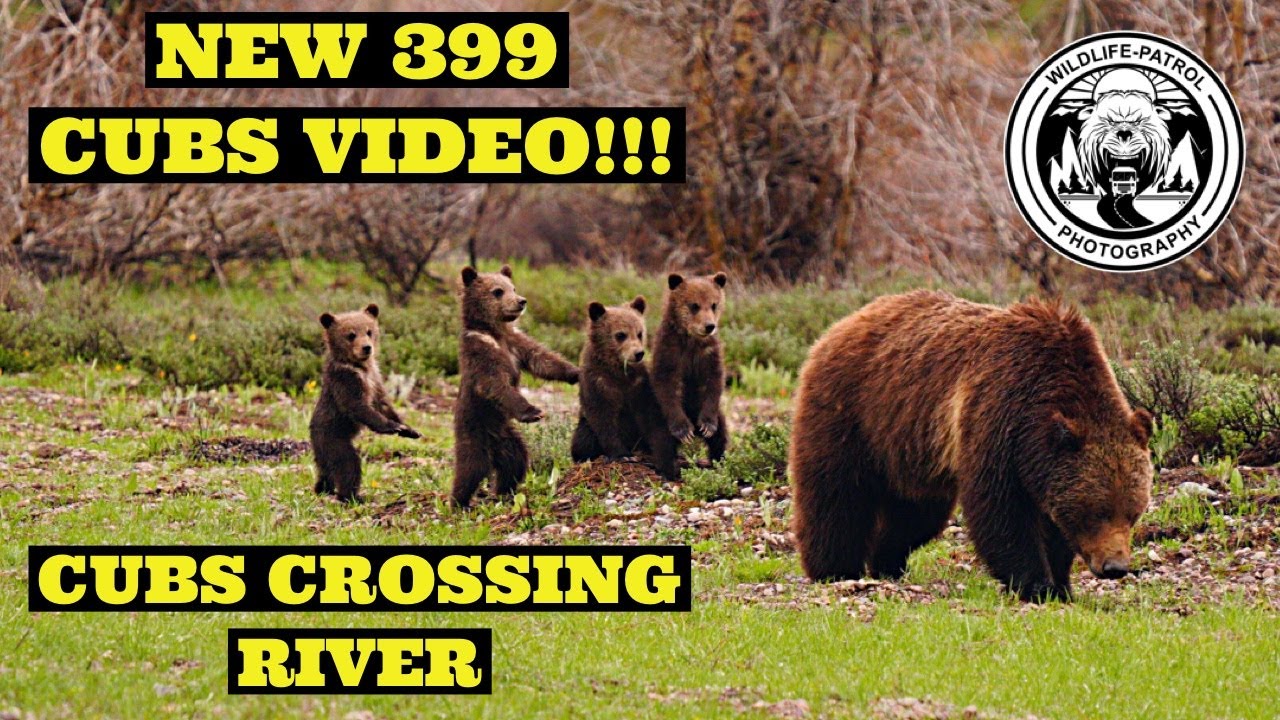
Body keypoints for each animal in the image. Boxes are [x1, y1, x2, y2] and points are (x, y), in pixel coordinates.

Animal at [310, 303, 421, 504]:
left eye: (369, 331)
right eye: (351, 335)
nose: (367, 348)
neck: (360, 367)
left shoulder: (375, 378)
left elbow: (383, 404)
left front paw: (409, 429)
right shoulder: (346, 381)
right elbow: (359, 407)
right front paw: (393, 426)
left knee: (326, 472)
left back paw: (324, 488)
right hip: (332, 437)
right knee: (347, 463)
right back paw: (352, 496)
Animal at [452, 265, 580, 507]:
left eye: (513, 287)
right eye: (497, 291)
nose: (521, 301)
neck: (495, 331)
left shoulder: (516, 344)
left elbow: (543, 360)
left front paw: (576, 372)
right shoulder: (481, 351)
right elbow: (494, 383)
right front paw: (533, 411)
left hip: (506, 436)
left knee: (515, 460)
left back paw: (504, 492)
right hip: (474, 427)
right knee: (471, 467)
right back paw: (458, 502)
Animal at [570, 296, 677, 480]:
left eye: (640, 333)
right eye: (620, 334)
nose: (638, 353)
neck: (619, 372)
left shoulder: (639, 385)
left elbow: (652, 418)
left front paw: (663, 459)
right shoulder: (598, 383)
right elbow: (603, 419)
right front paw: (622, 454)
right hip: (584, 425)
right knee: (583, 438)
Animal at [651, 272, 730, 471]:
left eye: (714, 304)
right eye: (694, 305)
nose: (709, 326)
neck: (692, 341)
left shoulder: (709, 353)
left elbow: (714, 381)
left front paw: (707, 426)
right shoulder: (670, 351)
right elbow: (666, 384)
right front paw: (683, 430)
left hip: (717, 415)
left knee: (721, 436)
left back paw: (715, 461)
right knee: (662, 441)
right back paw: (670, 467)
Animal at [789, 290, 1153, 602]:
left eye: (1132, 512)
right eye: (1098, 511)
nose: (1115, 567)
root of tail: (841, 325)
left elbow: (1054, 524)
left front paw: (1062, 585)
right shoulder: (998, 414)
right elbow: (1000, 511)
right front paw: (1036, 584)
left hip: (909, 448)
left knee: (917, 515)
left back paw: (888, 564)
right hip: (852, 413)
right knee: (836, 495)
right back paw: (834, 569)